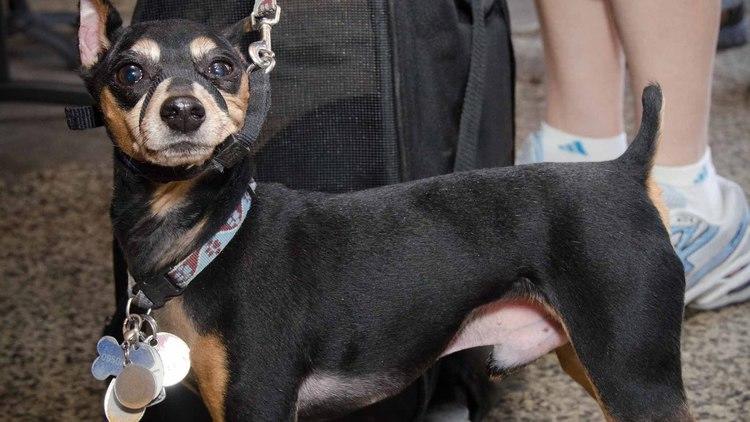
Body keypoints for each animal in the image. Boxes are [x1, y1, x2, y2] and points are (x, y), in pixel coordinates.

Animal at [78, 0, 692, 422]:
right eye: (129, 73)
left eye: (223, 68)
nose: (184, 110)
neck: (210, 238)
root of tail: (626, 171)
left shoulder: (258, 401)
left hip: (633, 376)